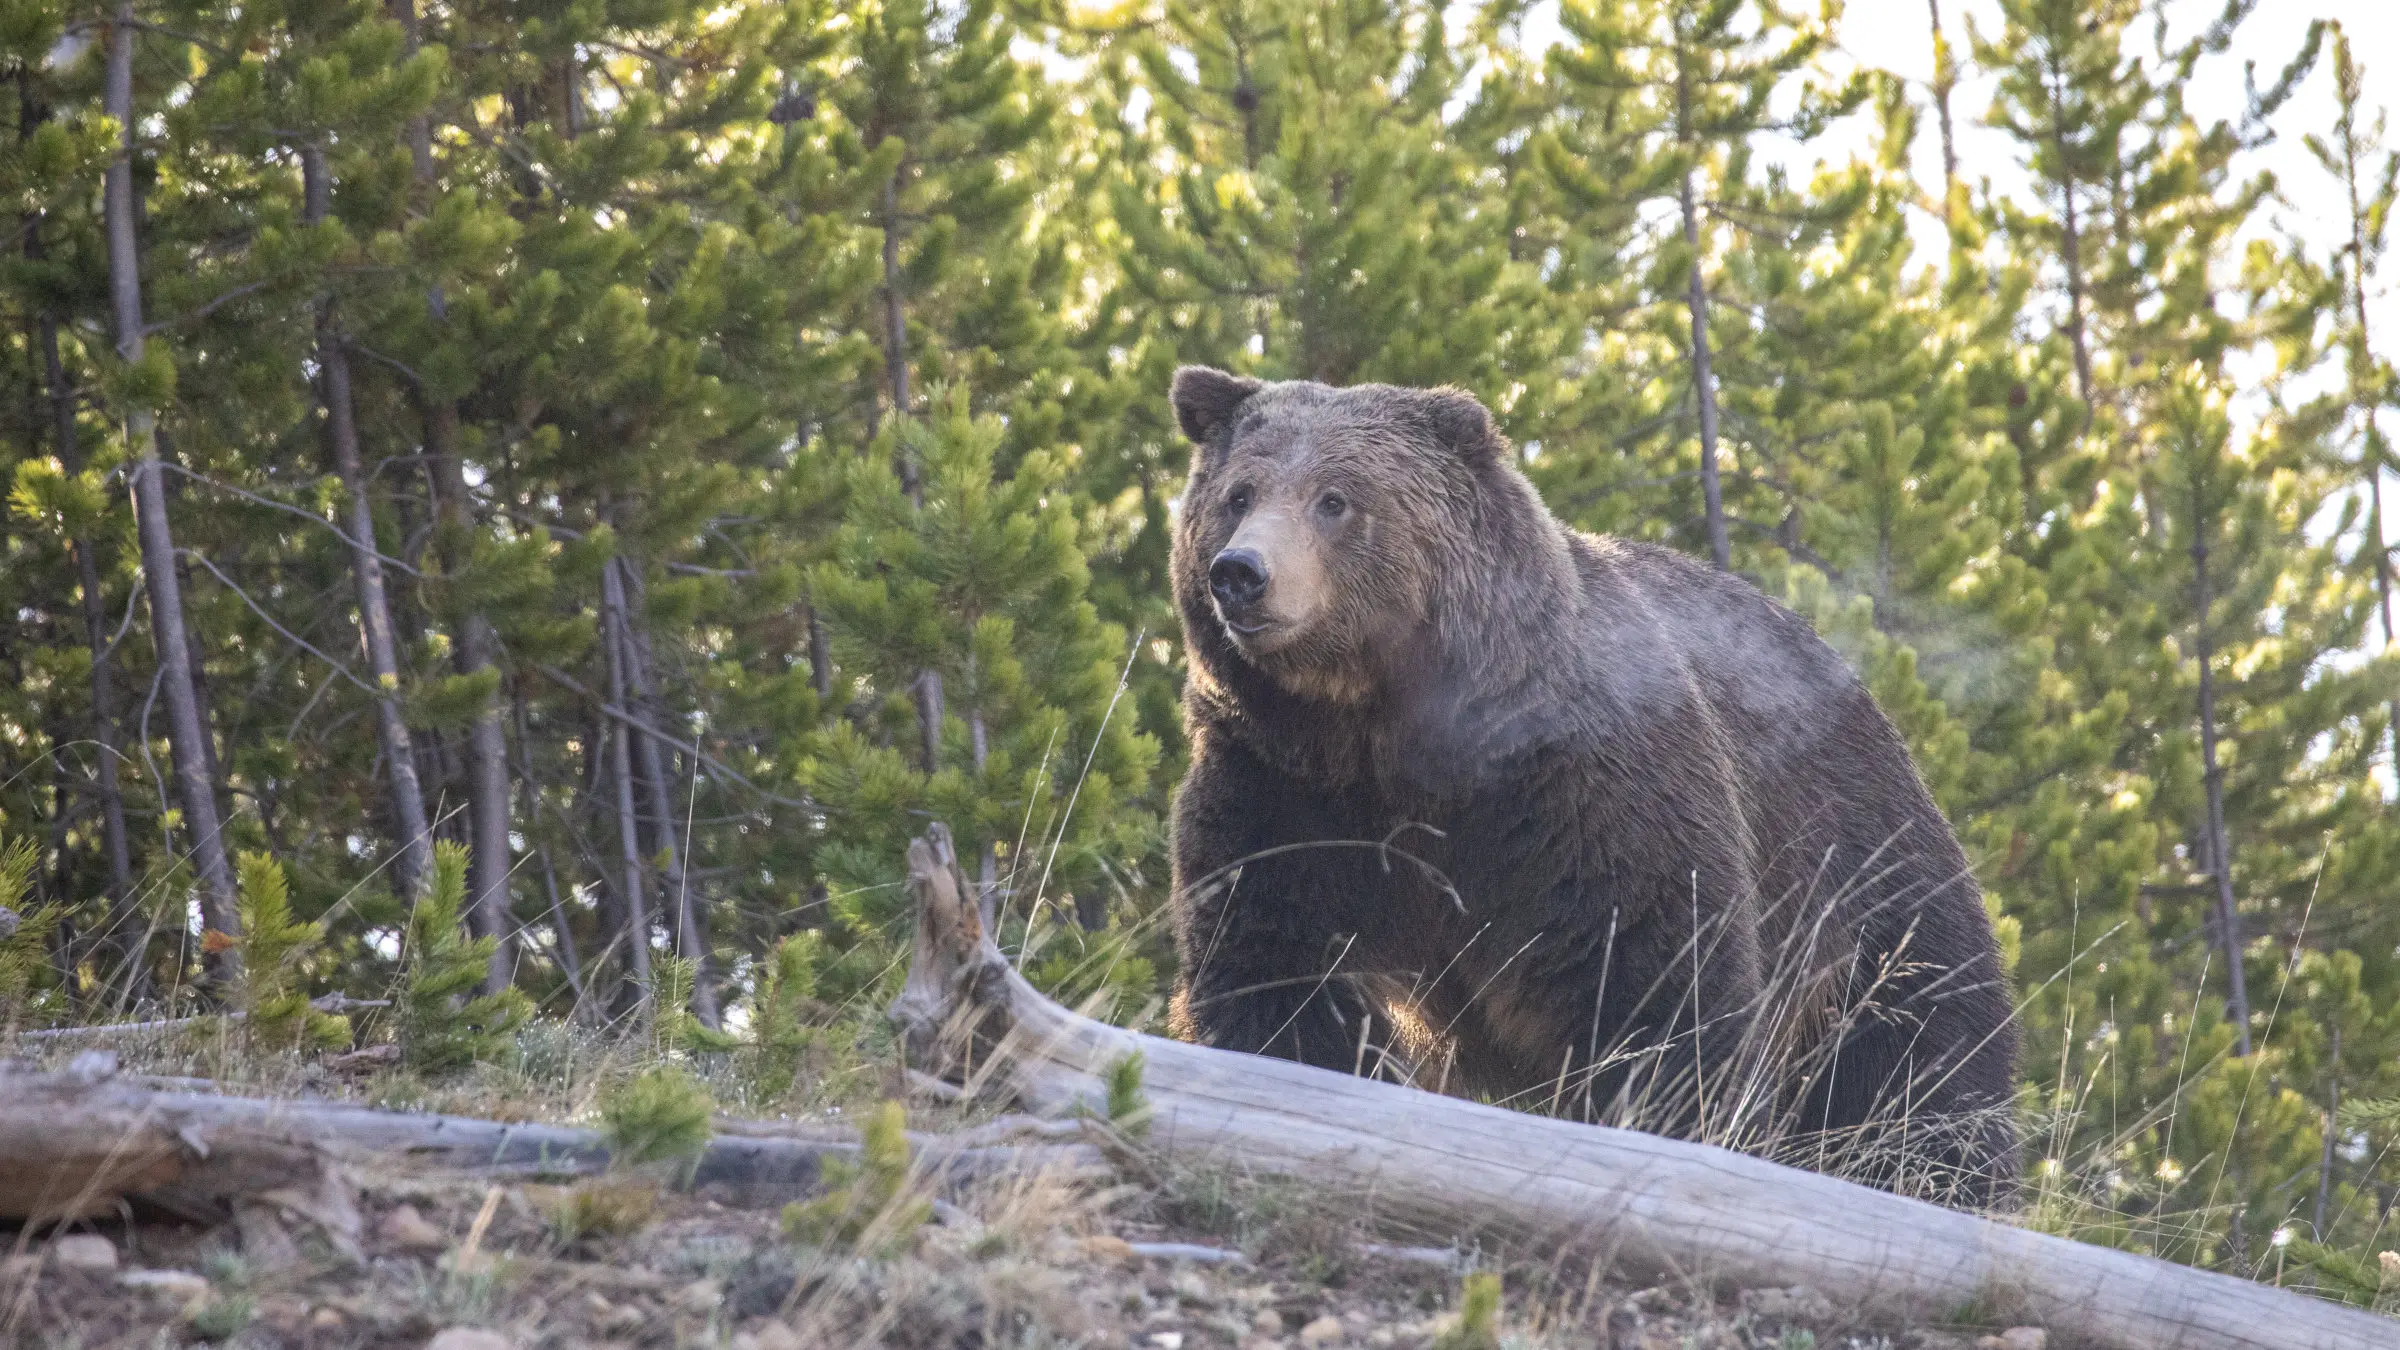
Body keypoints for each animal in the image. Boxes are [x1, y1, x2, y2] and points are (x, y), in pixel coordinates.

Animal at [1163, 365, 2020, 1207]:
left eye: (1336, 499)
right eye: (1238, 493)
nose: (1242, 573)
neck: (1384, 734)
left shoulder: (1577, 789)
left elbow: (1651, 977)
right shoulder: (1283, 790)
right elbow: (1273, 962)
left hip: (1860, 862)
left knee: (1921, 1049)